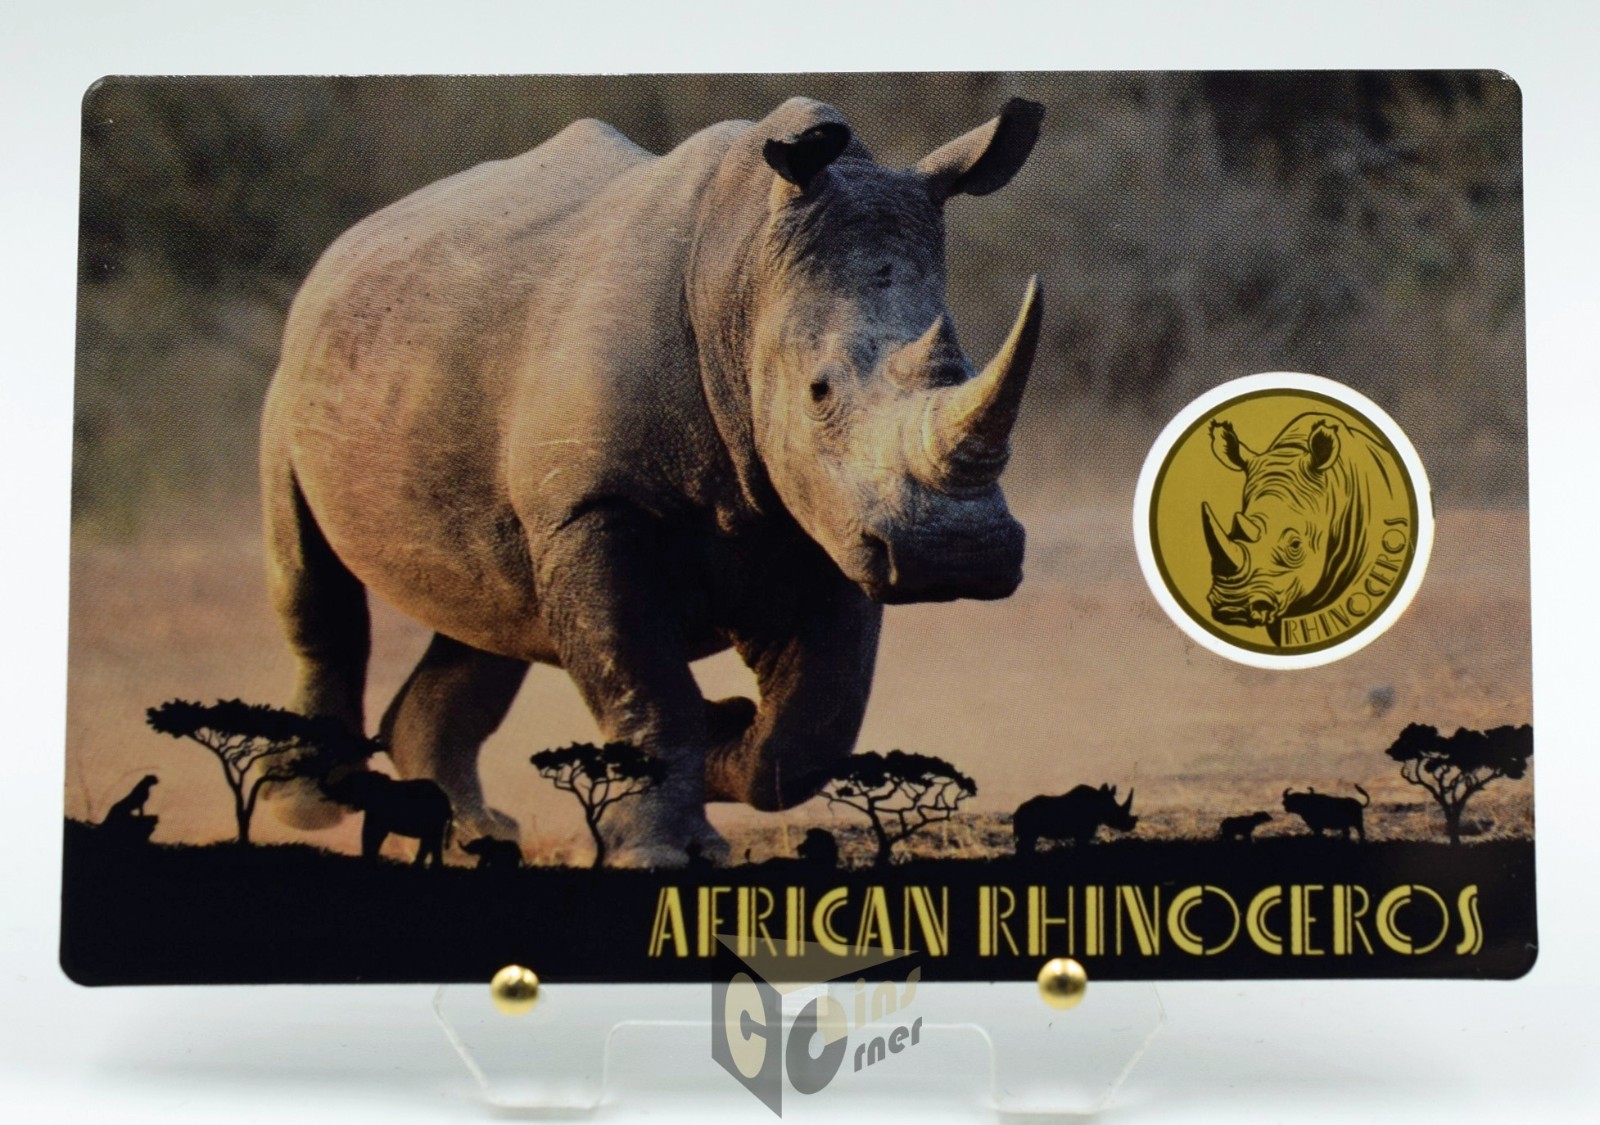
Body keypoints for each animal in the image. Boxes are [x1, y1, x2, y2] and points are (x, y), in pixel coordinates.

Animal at [261, 96, 1046, 866]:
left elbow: (812, 728)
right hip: (297, 378)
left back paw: (477, 835)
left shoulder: (836, 518)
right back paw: (310, 807)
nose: (956, 553)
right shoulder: (593, 504)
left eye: (964, 366)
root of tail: (343, 247)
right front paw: (661, 850)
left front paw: (725, 739)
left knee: (488, 615)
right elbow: (644, 683)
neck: (743, 283)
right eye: (819, 392)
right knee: (311, 579)